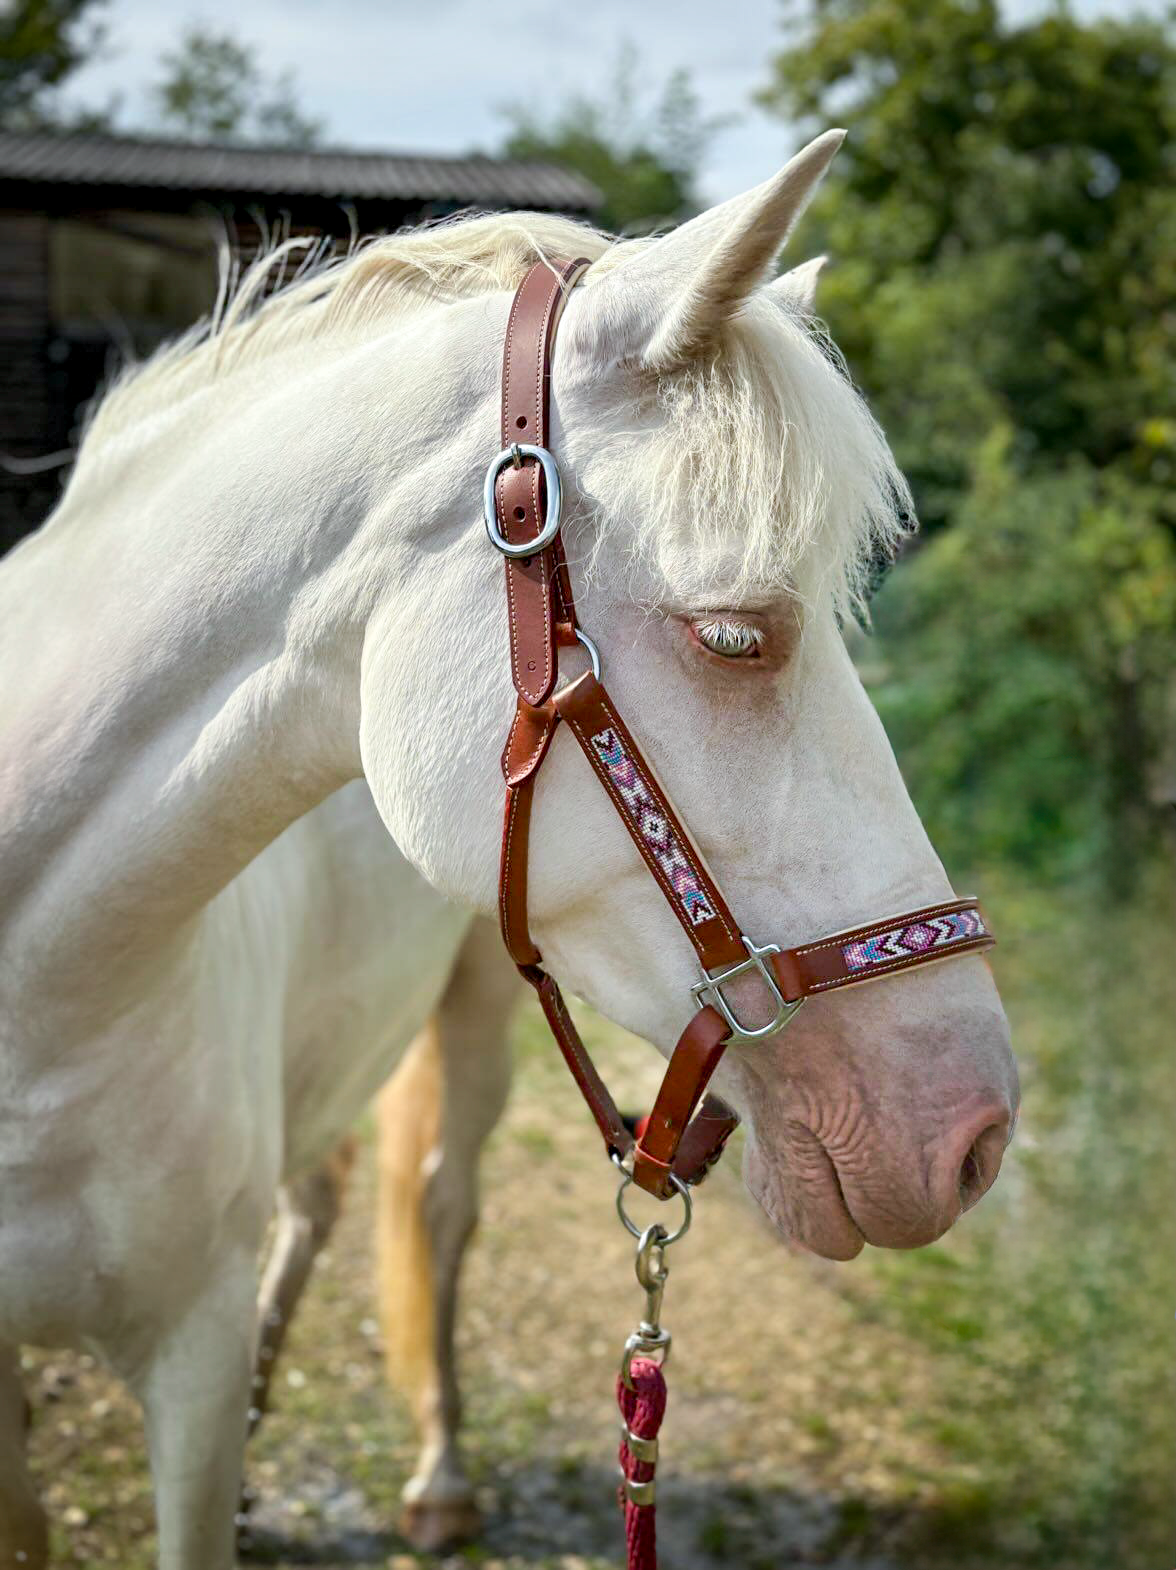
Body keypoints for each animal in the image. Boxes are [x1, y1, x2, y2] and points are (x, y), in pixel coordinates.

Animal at [0, 128, 1019, 1568]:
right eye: (734, 635)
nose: (977, 1133)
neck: (41, 1014)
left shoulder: (185, 1360)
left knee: (433, 1208)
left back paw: (434, 1472)